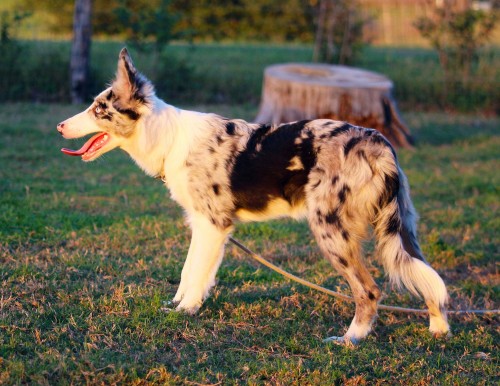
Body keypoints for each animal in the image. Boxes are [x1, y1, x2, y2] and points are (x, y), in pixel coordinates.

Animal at [57, 48, 450, 344]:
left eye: (98, 109)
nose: (60, 126)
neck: (168, 138)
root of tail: (377, 143)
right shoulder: (204, 226)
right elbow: (190, 272)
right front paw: (182, 305)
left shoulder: (214, 225)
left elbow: (194, 273)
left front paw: (185, 312)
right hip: (401, 228)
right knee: (428, 278)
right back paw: (438, 327)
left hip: (331, 232)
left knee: (368, 291)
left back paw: (350, 339)